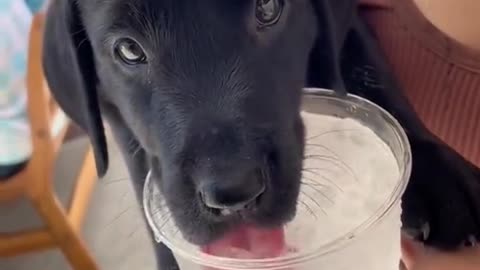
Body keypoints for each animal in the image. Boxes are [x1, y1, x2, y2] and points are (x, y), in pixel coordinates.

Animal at [42, 0, 480, 268]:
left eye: (268, 8)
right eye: (129, 50)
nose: (233, 195)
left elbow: (368, 68)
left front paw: (440, 179)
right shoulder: (117, 120)